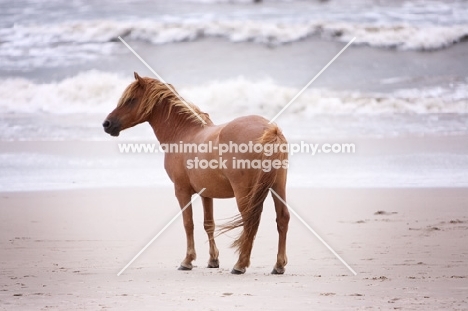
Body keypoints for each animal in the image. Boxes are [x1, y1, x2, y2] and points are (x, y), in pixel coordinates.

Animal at [103, 73, 288, 276]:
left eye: (131, 100)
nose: (107, 124)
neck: (182, 134)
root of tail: (270, 130)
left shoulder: (181, 191)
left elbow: (188, 223)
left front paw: (187, 260)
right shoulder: (206, 194)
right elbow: (208, 224)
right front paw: (213, 260)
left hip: (244, 192)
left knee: (250, 221)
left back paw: (240, 264)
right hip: (278, 187)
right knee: (282, 219)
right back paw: (278, 265)